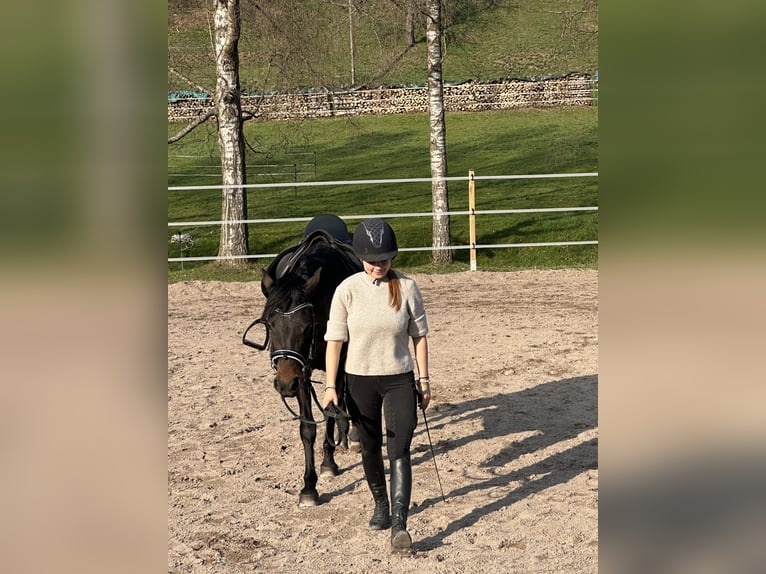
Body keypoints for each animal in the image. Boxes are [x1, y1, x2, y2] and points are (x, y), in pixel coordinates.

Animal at [243, 217, 362, 507]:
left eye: (307, 325)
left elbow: (331, 409)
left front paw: (329, 463)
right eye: (270, 324)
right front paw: (309, 486)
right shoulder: (301, 373)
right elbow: (308, 427)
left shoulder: (333, 364)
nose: (285, 385)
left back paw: (351, 435)